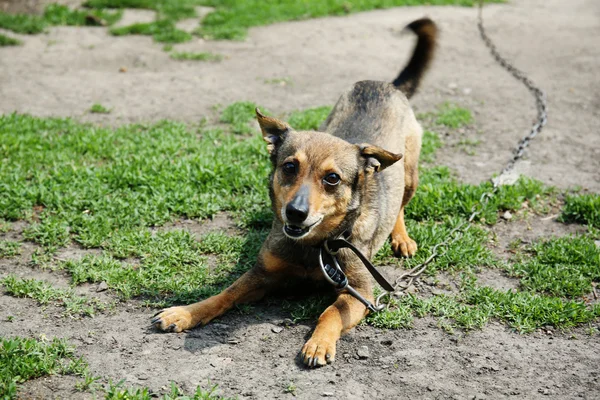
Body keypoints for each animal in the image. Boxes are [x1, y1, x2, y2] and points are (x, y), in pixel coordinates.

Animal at [154, 18, 436, 368]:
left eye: (332, 178)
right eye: (289, 166)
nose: (295, 212)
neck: (314, 247)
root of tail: (385, 84)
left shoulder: (358, 291)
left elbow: (331, 312)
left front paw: (318, 343)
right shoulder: (262, 274)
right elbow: (226, 293)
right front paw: (185, 313)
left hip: (410, 173)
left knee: (399, 205)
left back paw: (401, 237)